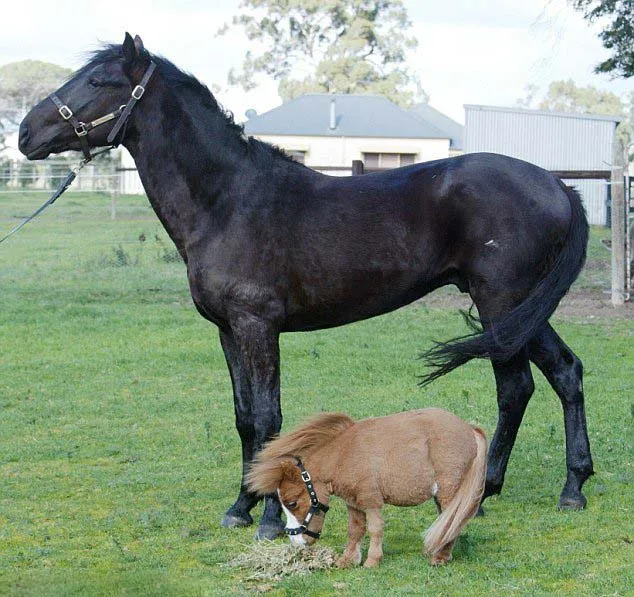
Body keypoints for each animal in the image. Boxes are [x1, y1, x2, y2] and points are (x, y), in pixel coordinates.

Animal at [18, 35, 592, 536]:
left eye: (98, 80)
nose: (25, 132)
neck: (228, 202)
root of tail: (557, 184)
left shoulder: (258, 326)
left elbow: (268, 418)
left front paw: (273, 519)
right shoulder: (228, 331)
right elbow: (244, 417)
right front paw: (241, 506)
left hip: (500, 303)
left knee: (515, 388)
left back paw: (489, 491)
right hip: (522, 310)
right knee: (565, 372)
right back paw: (569, 488)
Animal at [244, 408, 486, 564]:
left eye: (292, 503)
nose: (296, 542)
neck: (344, 455)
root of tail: (470, 429)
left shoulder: (371, 500)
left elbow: (375, 528)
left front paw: (372, 561)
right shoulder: (354, 503)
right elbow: (355, 530)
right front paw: (348, 560)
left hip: (449, 490)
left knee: (452, 518)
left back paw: (440, 557)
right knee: (447, 520)